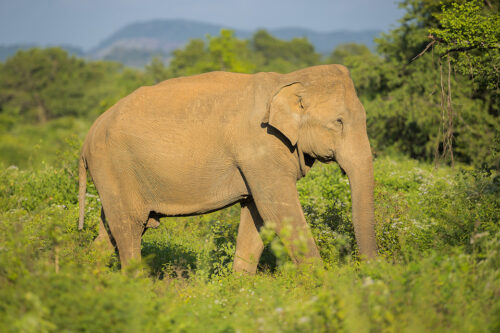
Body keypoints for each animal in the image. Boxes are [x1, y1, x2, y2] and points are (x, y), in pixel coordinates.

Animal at [77, 63, 376, 272]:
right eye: (338, 122)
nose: (368, 274)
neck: (288, 79)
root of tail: (88, 136)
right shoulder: (260, 147)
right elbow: (278, 210)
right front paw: (322, 286)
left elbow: (257, 215)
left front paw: (240, 289)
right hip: (113, 166)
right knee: (129, 227)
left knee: (108, 232)